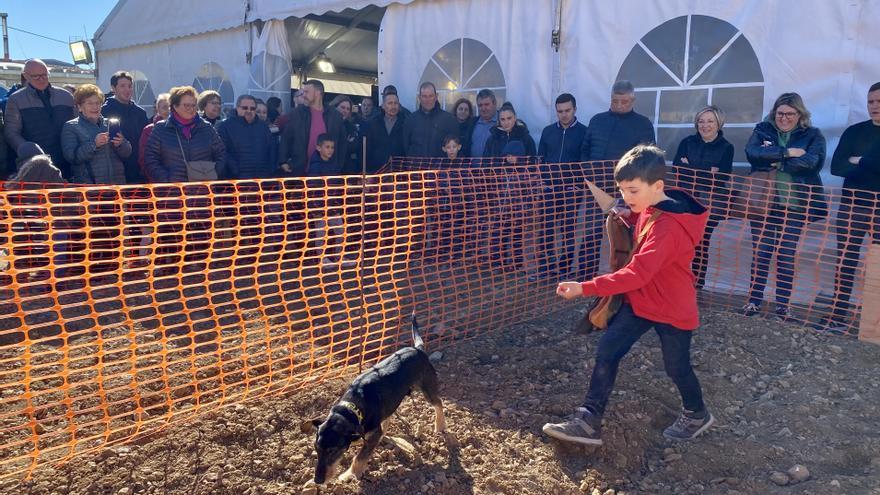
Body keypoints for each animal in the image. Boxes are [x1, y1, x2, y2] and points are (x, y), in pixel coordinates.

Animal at [308, 314, 446, 484]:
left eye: (333, 451)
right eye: (316, 448)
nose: (318, 481)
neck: (351, 408)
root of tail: (418, 349)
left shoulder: (371, 434)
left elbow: (359, 457)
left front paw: (350, 474)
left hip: (427, 386)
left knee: (438, 402)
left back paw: (440, 425)